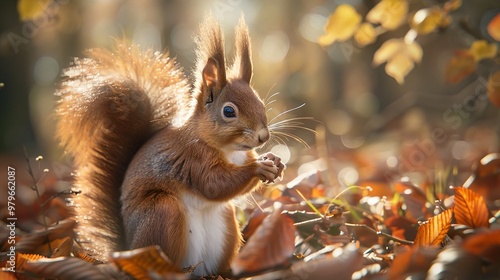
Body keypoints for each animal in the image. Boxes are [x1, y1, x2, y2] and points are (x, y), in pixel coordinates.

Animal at [56, 15, 284, 276]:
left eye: (260, 103)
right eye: (229, 111)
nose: (263, 136)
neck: (229, 150)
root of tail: (127, 250)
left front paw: (275, 161)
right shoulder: (192, 157)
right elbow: (214, 184)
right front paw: (259, 167)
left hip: (225, 222)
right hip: (162, 213)